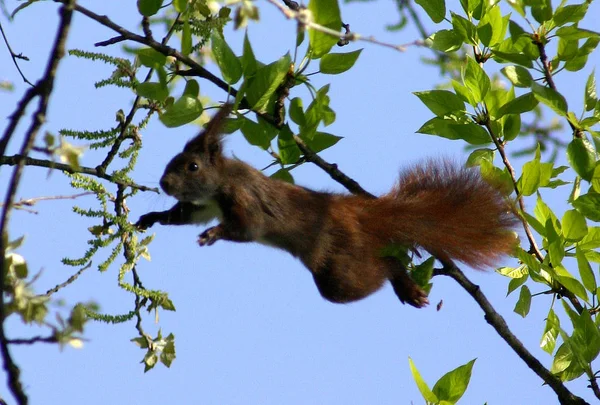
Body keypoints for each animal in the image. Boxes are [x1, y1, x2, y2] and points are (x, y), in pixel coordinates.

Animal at [138, 104, 516, 306]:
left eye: (193, 167)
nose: (164, 184)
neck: (221, 183)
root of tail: (353, 209)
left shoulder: (242, 198)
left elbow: (248, 227)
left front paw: (214, 235)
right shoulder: (206, 205)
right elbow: (187, 216)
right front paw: (153, 217)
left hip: (340, 267)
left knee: (376, 269)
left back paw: (399, 279)